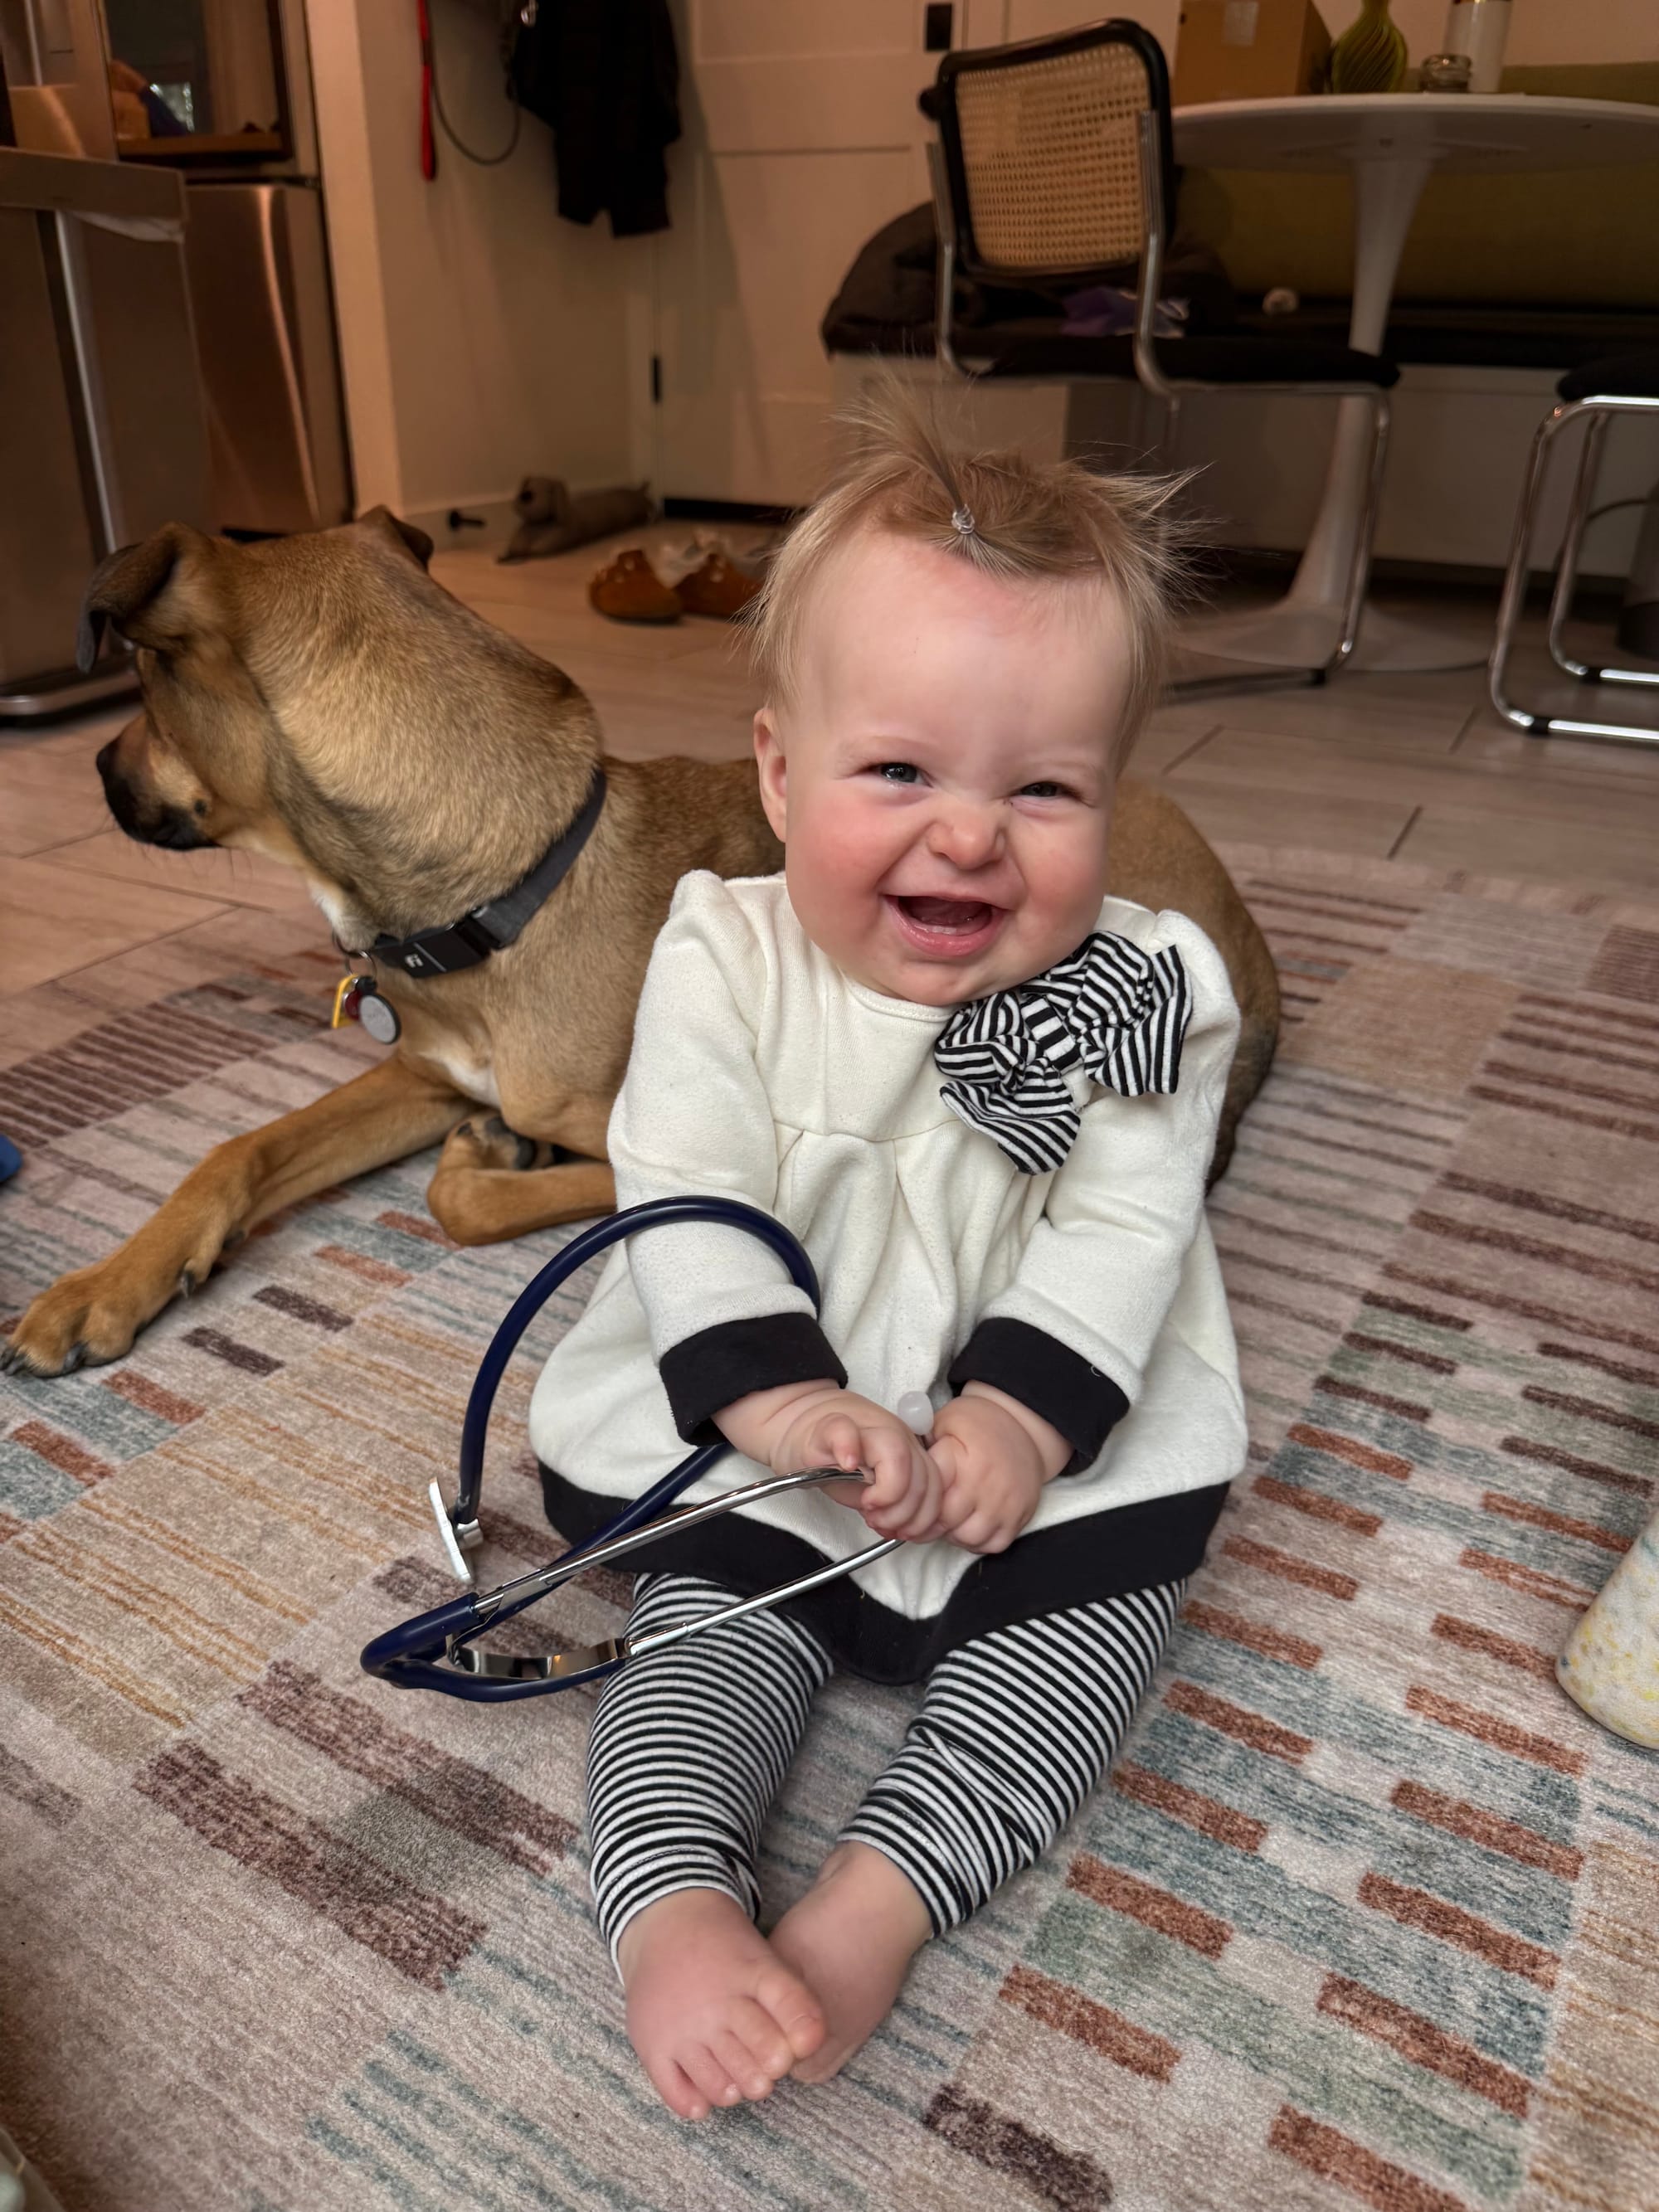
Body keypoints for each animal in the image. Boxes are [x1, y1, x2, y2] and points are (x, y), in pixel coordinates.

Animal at [3, 509, 1277, 1379]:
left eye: (145, 686)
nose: (98, 768)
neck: (506, 891)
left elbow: (468, 1203)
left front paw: (490, 1162)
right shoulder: (422, 1073)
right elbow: (237, 1149)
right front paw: (104, 1284)